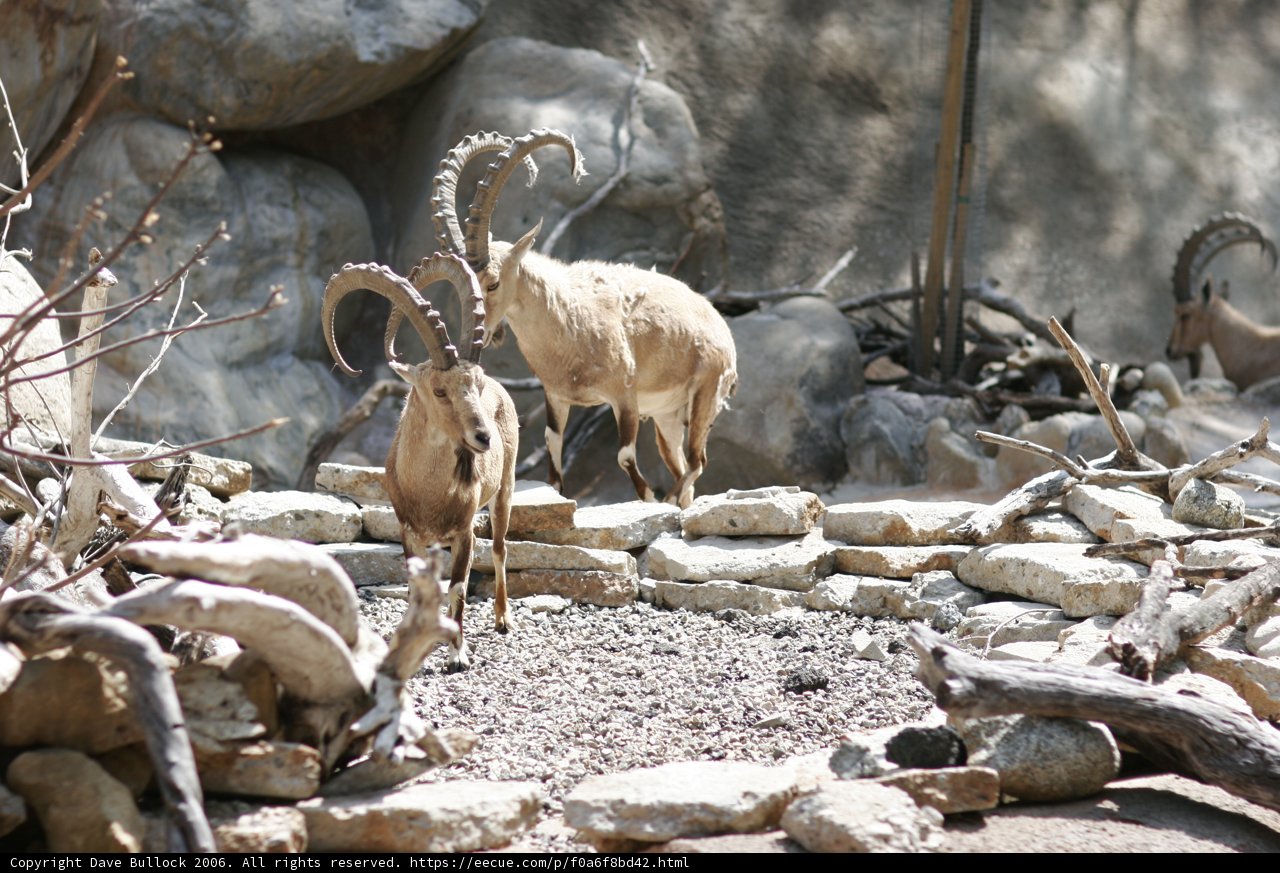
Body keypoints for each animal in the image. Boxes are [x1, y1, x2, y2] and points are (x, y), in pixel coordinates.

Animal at [323, 254, 517, 672]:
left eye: (475, 386)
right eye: (439, 390)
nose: (484, 437)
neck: (429, 491)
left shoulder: (464, 533)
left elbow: (458, 587)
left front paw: (457, 654)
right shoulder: (408, 530)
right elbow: (415, 587)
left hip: (504, 490)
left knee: (499, 548)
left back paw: (502, 618)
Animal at [423, 129, 738, 508]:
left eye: (494, 282)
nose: (483, 335)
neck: (567, 321)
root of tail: (718, 323)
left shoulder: (624, 394)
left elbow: (624, 455)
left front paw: (648, 497)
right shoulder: (557, 396)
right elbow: (553, 454)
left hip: (707, 392)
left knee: (696, 463)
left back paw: (669, 498)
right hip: (668, 416)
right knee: (684, 469)